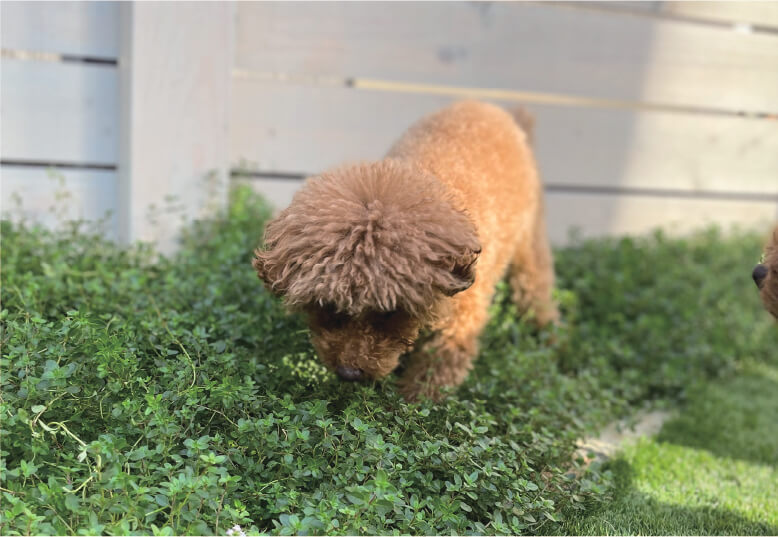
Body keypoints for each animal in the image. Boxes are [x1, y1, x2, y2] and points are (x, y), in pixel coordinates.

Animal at [255, 101, 556, 402]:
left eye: (389, 312)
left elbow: (434, 375)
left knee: (534, 280)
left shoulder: (459, 323)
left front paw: (412, 403)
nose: (348, 373)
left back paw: (545, 329)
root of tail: (492, 107)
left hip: (530, 232)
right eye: (328, 305)